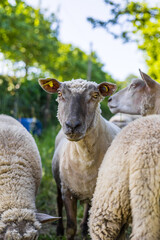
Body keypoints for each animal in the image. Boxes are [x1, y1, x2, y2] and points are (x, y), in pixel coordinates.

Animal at [38, 78, 120, 239]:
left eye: (95, 95)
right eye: (59, 94)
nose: (72, 125)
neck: (85, 157)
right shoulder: (67, 191)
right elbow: (71, 228)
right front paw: (67, 231)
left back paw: (83, 229)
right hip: (59, 183)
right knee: (58, 202)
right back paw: (59, 229)